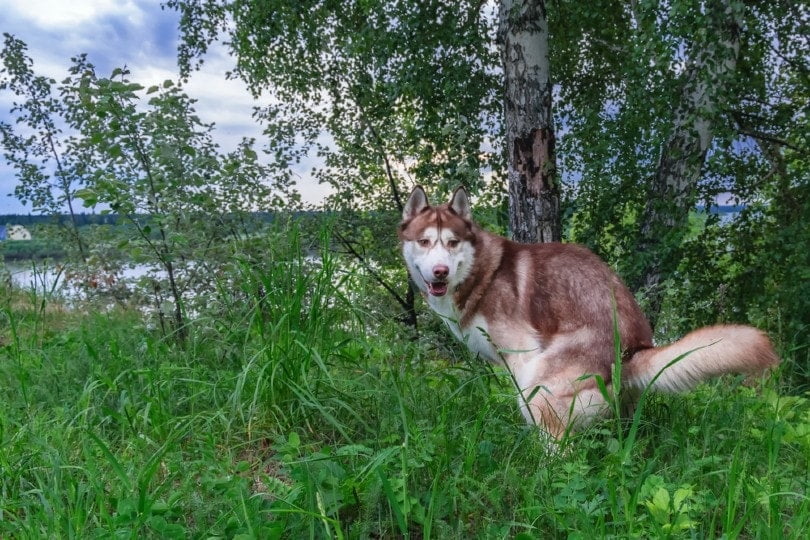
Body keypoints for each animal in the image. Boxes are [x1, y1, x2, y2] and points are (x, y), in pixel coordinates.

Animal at [398, 186, 776, 438]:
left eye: (452, 242)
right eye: (424, 242)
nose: (440, 272)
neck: (482, 272)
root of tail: (632, 351)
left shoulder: (523, 354)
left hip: (542, 384)